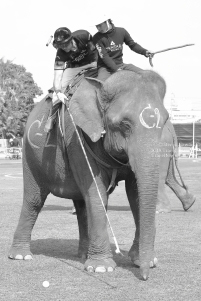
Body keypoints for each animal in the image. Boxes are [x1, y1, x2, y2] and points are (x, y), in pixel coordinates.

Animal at [8, 69, 192, 278]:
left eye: (164, 122)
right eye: (124, 124)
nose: (145, 276)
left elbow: (135, 193)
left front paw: (141, 260)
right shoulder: (78, 140)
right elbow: (97, 193)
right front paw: (102, 267)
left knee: (81, 204)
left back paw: (82, 254)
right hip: (30, 153)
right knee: (34, 199)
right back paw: (21, 256)